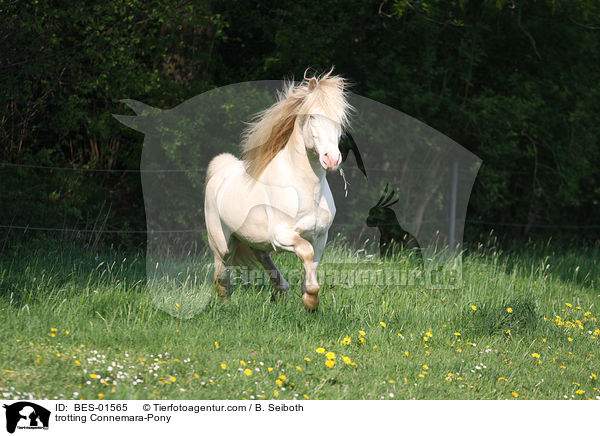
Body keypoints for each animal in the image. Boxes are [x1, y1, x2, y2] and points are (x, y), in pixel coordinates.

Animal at [205, 71, 352, 310]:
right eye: (312, 117)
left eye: (340, 118)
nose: (331, 159)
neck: (307, 190)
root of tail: (220, 171)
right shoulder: (282, 235)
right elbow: (306, 252)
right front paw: (311, 300)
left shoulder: (321, 236)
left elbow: (312, 265)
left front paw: (308, 301)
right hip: (222, 245)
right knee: (222, 278)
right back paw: (227, 307)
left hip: (254, 238)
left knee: (262, 256)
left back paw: (280, 290)